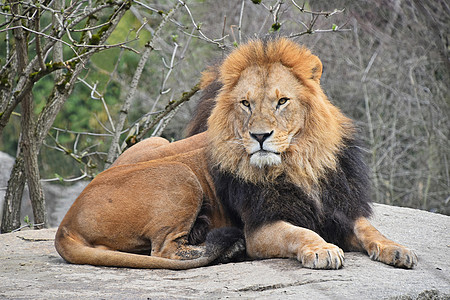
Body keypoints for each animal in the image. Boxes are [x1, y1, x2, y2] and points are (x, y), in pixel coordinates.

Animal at [56, 38, 418, 270]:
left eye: (282, 101)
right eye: (246, 103)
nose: (259, 136)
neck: (300, 163)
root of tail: (66, 221)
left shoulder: (340, 208)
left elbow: (369, 230)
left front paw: (398, 250)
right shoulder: (261, 227)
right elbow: (301, 232)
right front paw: (323, 249)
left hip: (156, 142)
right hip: (180, 175)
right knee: (163, 252)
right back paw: (228, 247)